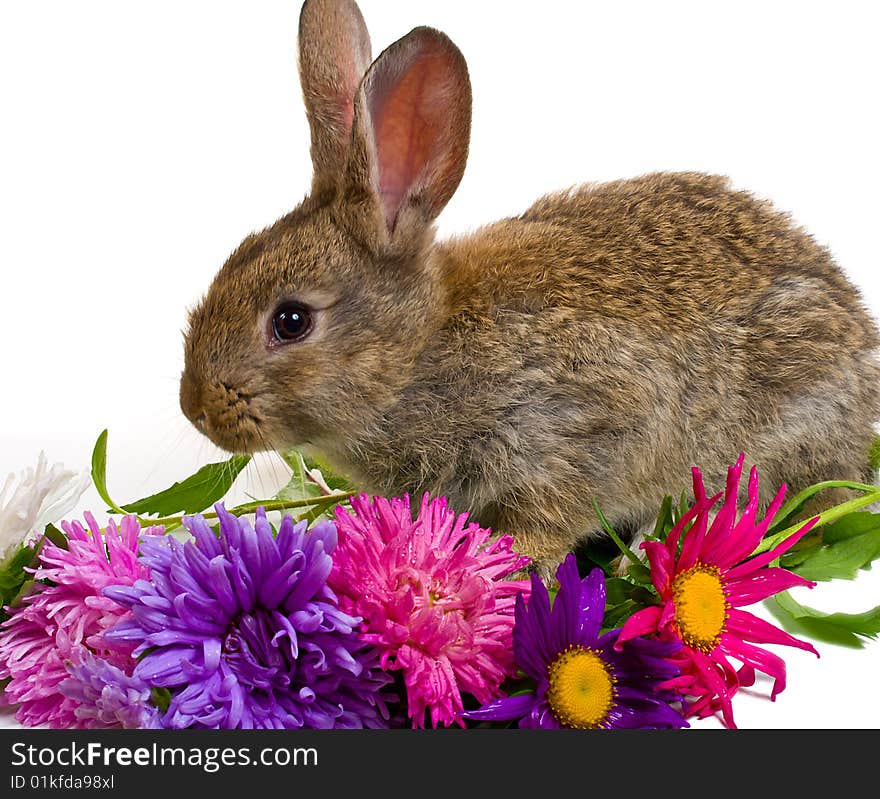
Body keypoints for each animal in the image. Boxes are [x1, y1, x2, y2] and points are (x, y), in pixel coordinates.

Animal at [179, 0, 880, 576]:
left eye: (291, 321)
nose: (196, 408)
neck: (418, 356)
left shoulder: (578, 429)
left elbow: (549, 517)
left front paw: (510, 564)